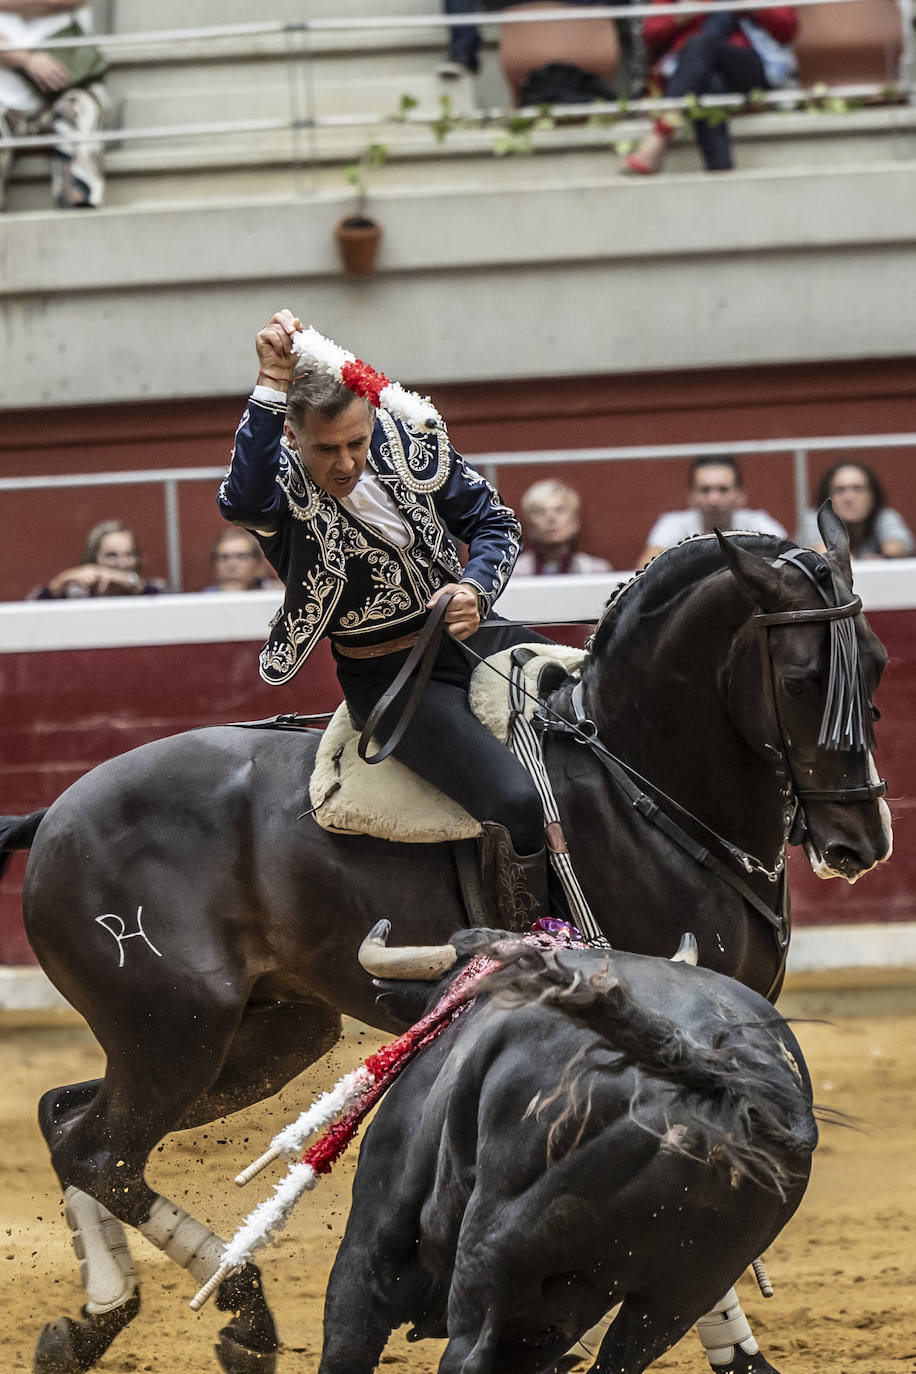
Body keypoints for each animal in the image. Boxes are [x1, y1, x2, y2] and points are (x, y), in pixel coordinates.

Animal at [322, 934, 818, 1374]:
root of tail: (710, 1069)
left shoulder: (371, 1239)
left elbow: (346, 1344)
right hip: (685, 1289)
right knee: (621, 1357)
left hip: (489, 1256)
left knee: (466, 1356)